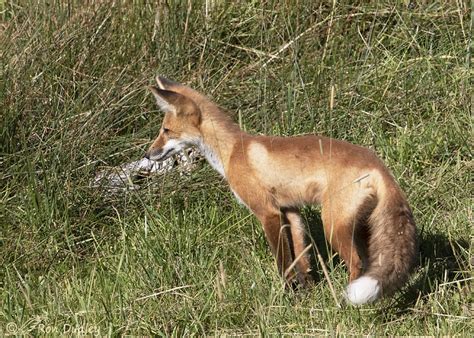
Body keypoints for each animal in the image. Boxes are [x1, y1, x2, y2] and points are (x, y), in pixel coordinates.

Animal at [143, 75, 416, 304]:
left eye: (166, 130)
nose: (147, 154)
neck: (232, 152)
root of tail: (378, 164)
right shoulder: (290, 210)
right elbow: (301, 260)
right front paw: (305, 294)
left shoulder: (268, 212)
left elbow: (283, 262)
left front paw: (287, 296)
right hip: (358, 226)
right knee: (370, 262)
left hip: (332, 224)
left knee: (357, 264)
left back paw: (343, 304)